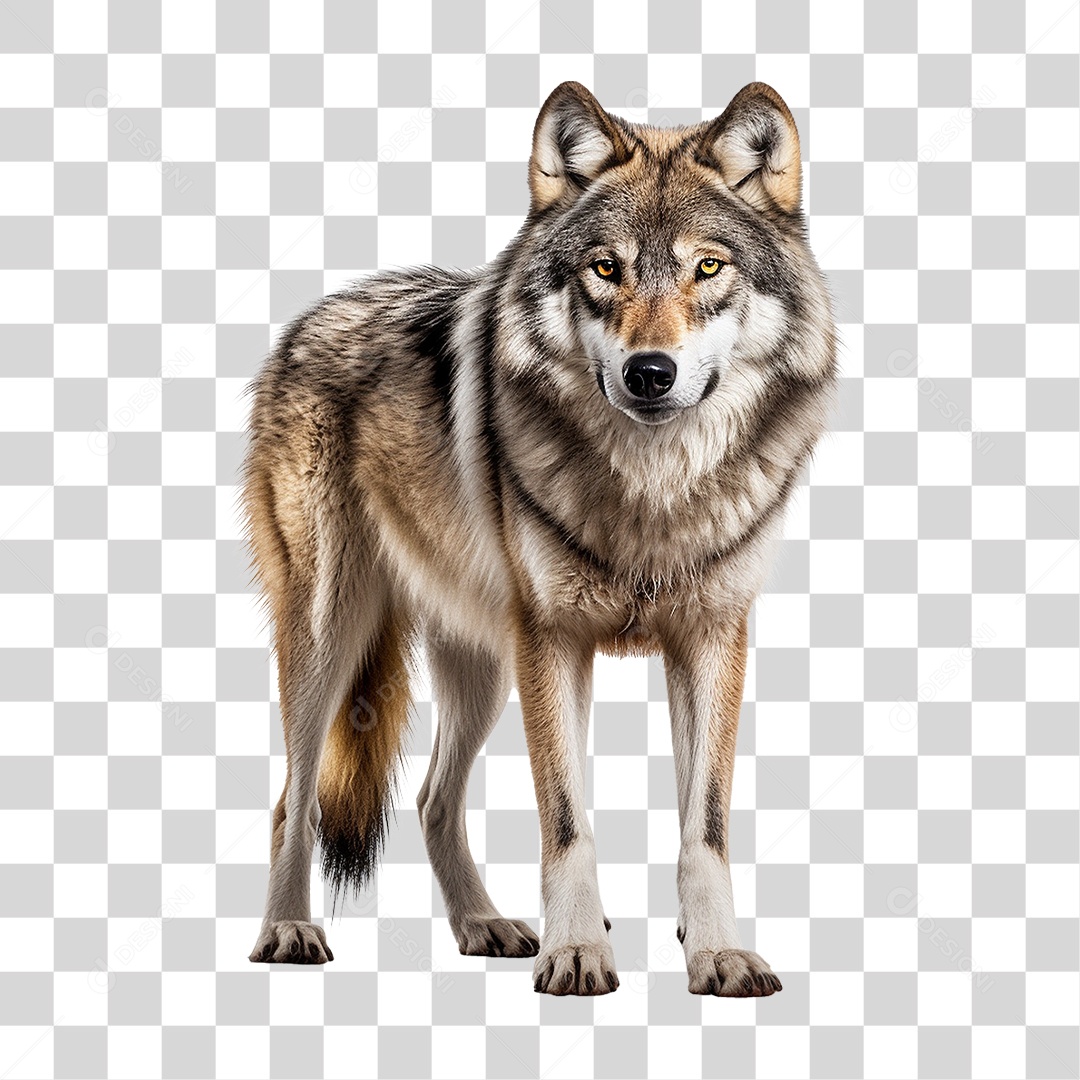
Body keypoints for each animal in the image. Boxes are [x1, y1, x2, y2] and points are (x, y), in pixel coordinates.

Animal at [243, 81, 836, 996]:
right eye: (605, 268)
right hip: (331, 634)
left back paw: (482, 925)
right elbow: (568, 822)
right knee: (291, 800)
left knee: (432, 800)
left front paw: (716, 955)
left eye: (708, 267)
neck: (653, 492)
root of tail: (308, 320)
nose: (649, 373)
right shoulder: (553, 640)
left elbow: (702, 829)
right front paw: (579, 952)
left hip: (482, 664)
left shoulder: (711, 638)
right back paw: (288, 930)